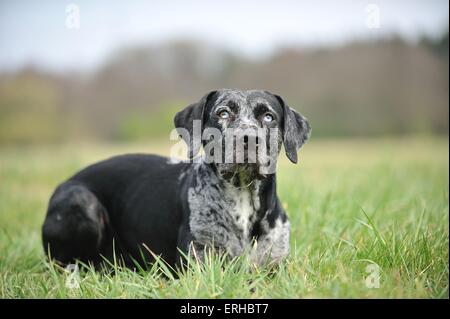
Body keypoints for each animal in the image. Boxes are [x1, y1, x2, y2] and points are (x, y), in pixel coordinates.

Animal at [41, 89, 310, 270]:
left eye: (268, 117)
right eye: (223, 113)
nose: (248, 138)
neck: (242, 199)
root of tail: (64, 182)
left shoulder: (275, 265)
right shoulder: (199, 264)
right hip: (82, 201)